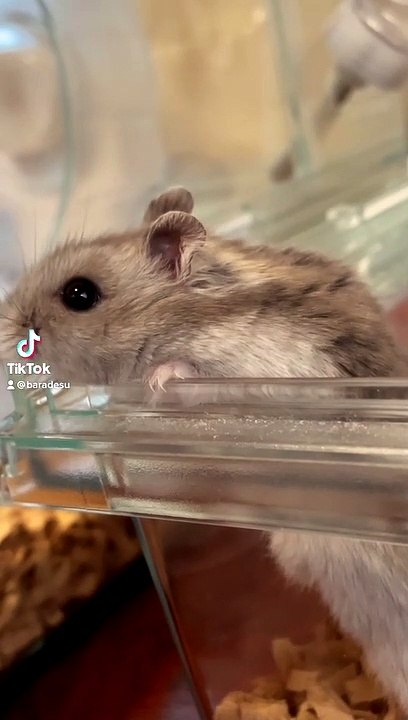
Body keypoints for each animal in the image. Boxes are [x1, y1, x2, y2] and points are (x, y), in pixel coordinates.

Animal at [1, 186, 408, 710]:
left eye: (80, 295)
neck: (190, 312)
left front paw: (160, 378)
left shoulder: (266, 377)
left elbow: (187, 376)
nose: (11, 325)